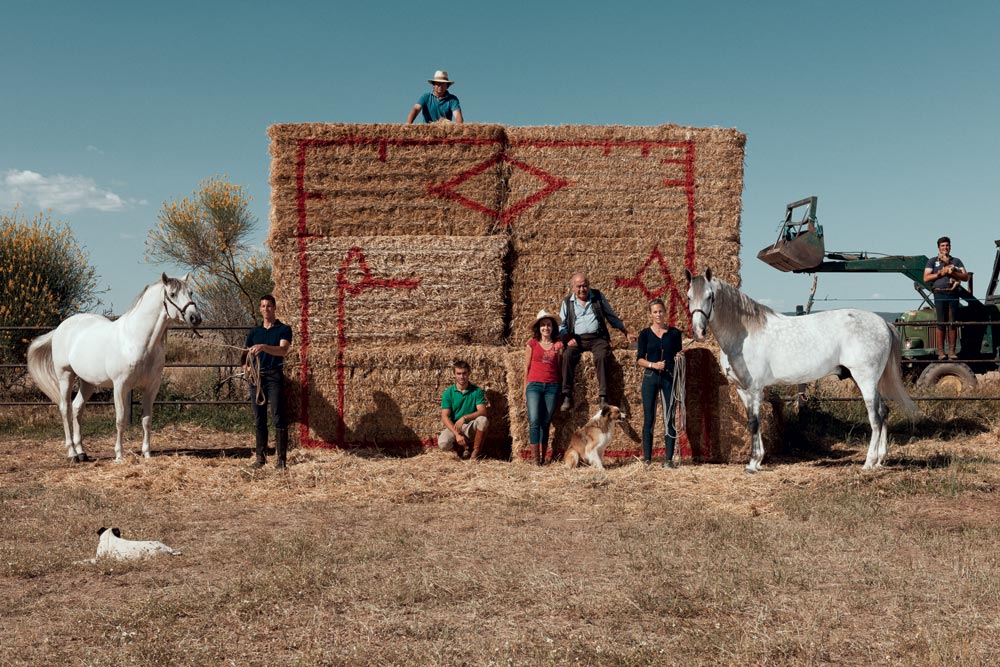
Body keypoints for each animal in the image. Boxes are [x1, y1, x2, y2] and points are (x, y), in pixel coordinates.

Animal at [26, 274, 202, 462]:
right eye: (173, 294)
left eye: (191, 292)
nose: (195, 318)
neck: (137, 340)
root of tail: (60, 328)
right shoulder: (120, 386)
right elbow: (120, 419)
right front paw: (119, 455)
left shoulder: (152, 386)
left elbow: (147, 420)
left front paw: (147, 454)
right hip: (65, 376)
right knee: (65, 409)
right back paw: (72, 453)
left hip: (88, 382)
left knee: (77, 408)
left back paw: (81, 452)